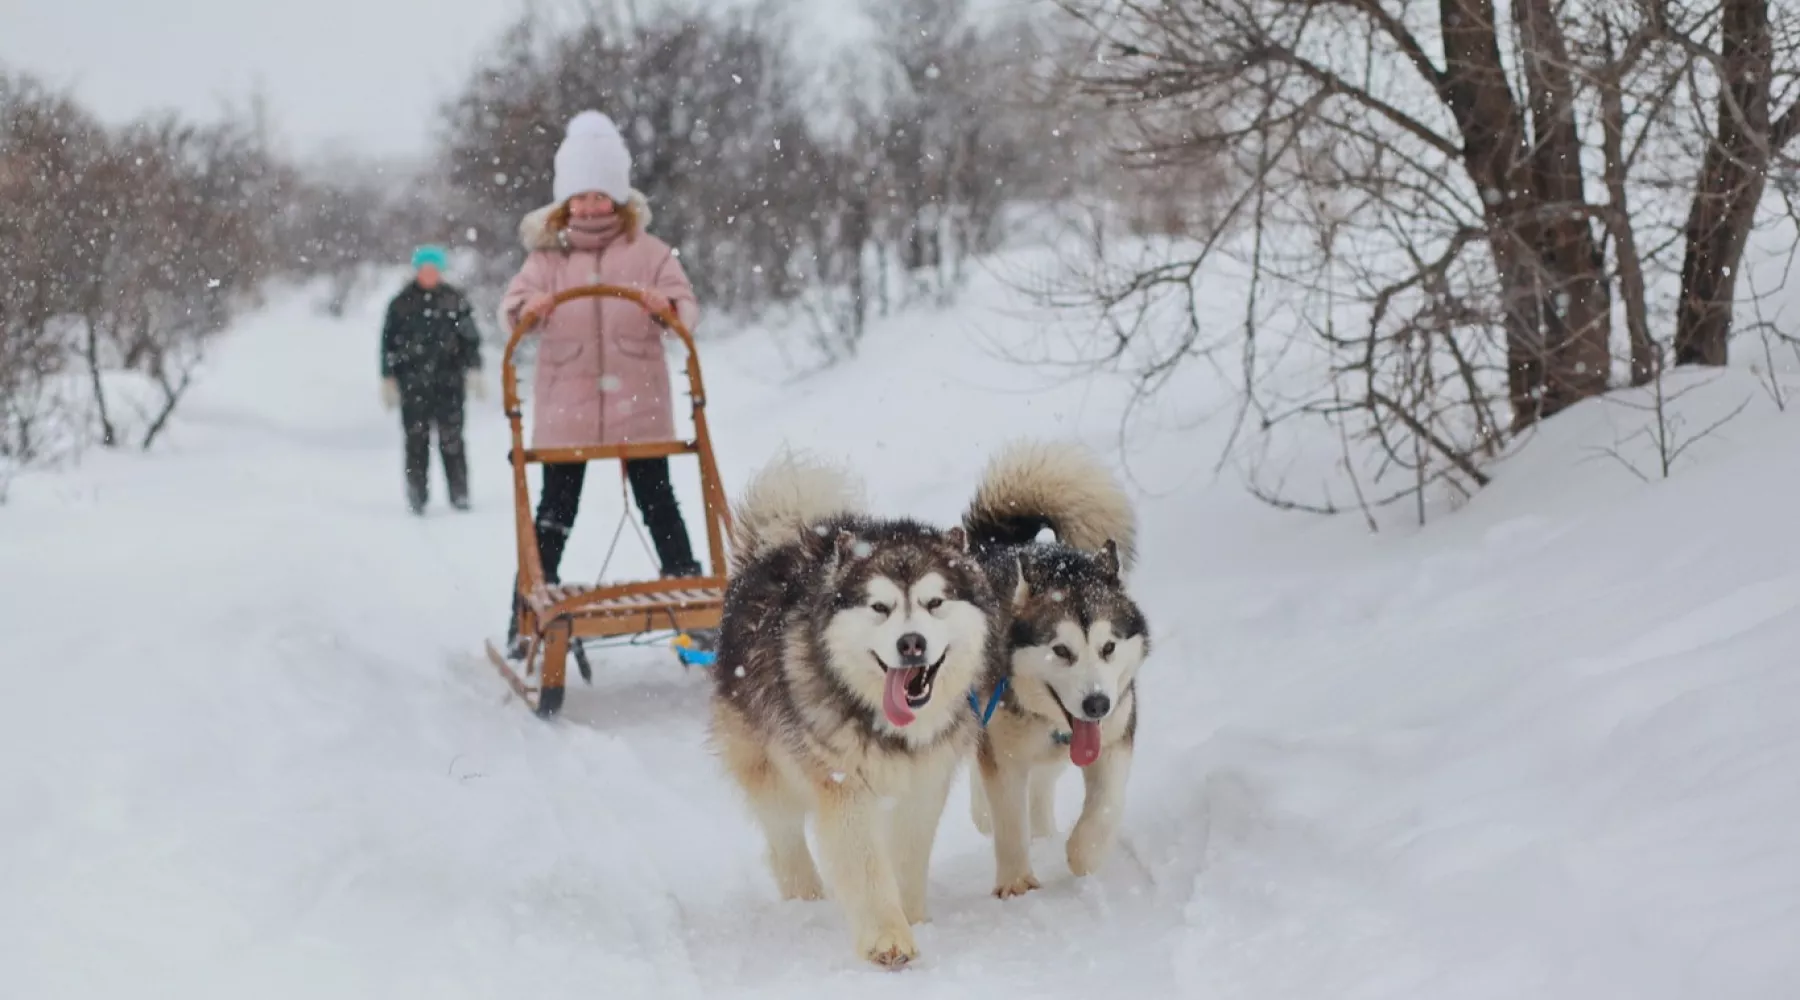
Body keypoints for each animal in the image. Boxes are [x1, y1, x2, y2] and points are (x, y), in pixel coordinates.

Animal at [709, 453, 1008, 971]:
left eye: (934, 602)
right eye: (879, 607)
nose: (912, 643)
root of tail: (784, 541)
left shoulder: (925, 782)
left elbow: (906, 852)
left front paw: (913, 918)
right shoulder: (843, 785)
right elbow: (866, 866)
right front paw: (887, 938)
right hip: (768, 764)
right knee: (784, 835)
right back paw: (805, 896)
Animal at [964, 440, 1144, 895]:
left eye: (1108, 647)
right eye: (1060, 650)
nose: (1097, 704)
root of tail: (997, 541)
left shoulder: (1116, 736)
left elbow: (1106, 805)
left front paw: (1084, 852)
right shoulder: (1002, 754)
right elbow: (1009, 820)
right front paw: (1015, 884)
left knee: (1043, 784)